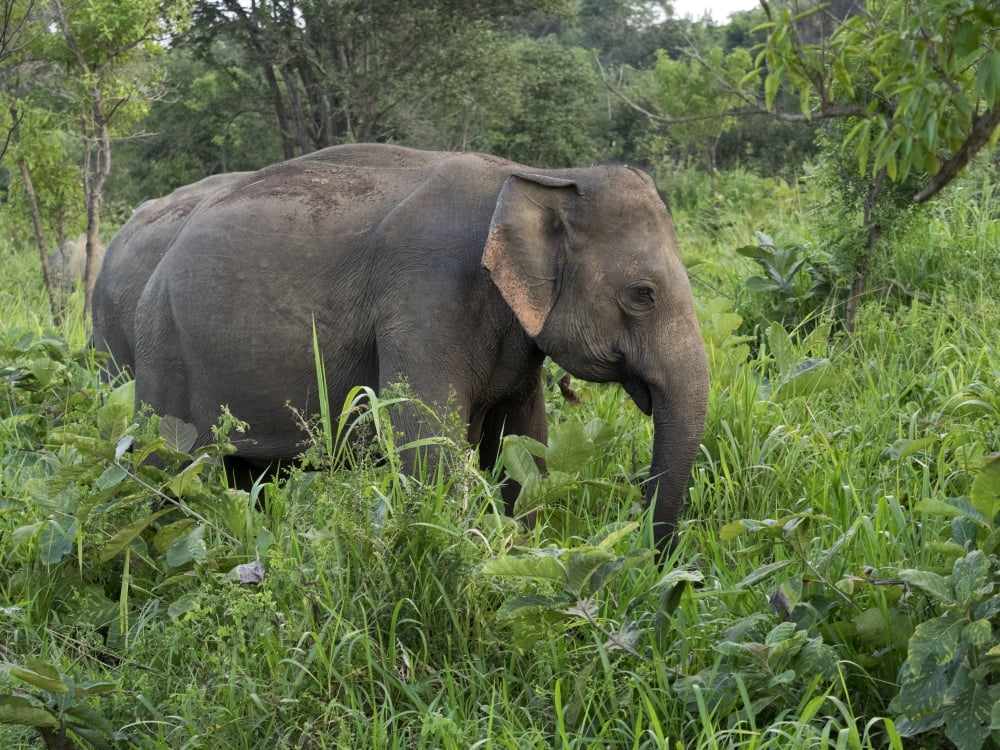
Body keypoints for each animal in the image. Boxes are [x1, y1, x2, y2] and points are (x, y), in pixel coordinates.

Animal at [128, 143, 709, 552]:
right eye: (642, 294)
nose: (657, 562)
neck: (538, 174)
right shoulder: (425, 297)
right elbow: (427, 449)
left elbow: (522, 447)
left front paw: (525, 548)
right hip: (161, 350)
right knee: (167, 470)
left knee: (250, 478)